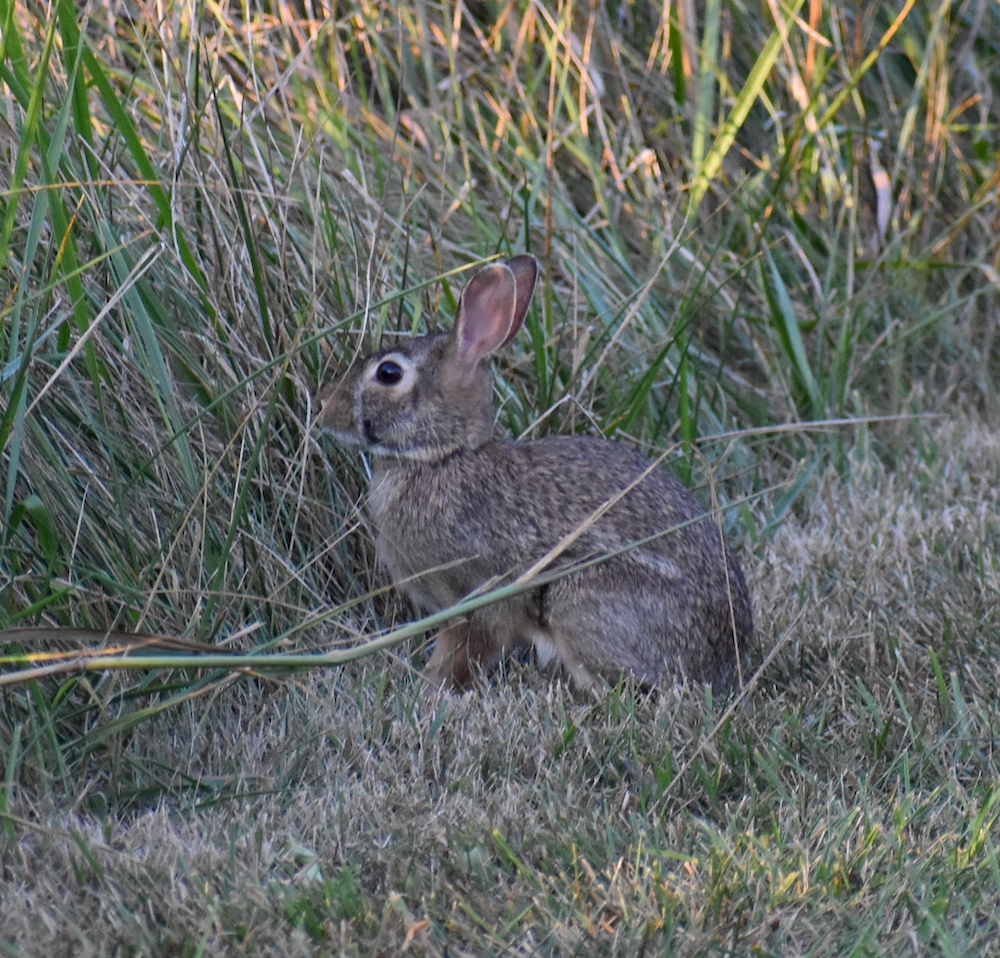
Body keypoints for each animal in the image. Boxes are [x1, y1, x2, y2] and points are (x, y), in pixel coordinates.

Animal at [324, 253, 752, 688]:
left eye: (389, 373)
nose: (326, 407)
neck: (444, 456)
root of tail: (721, 666)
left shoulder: (480, 591)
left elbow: (472, 642)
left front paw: (434, 683)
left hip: (577, 601)